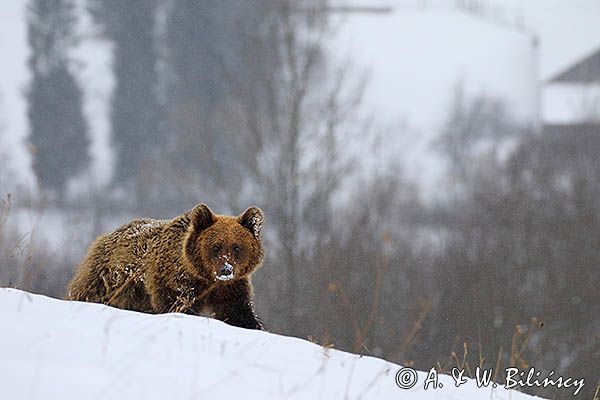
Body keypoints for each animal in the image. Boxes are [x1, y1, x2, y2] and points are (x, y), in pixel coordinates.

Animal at [65, 205, 264, 330]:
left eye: (237, 247)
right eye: (216, 246)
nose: (226, 269)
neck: (204, 277)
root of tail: (105, 236)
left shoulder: (231, 287)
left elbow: (237, 312)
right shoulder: (175, 281)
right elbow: (177, 305)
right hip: (108, 280)